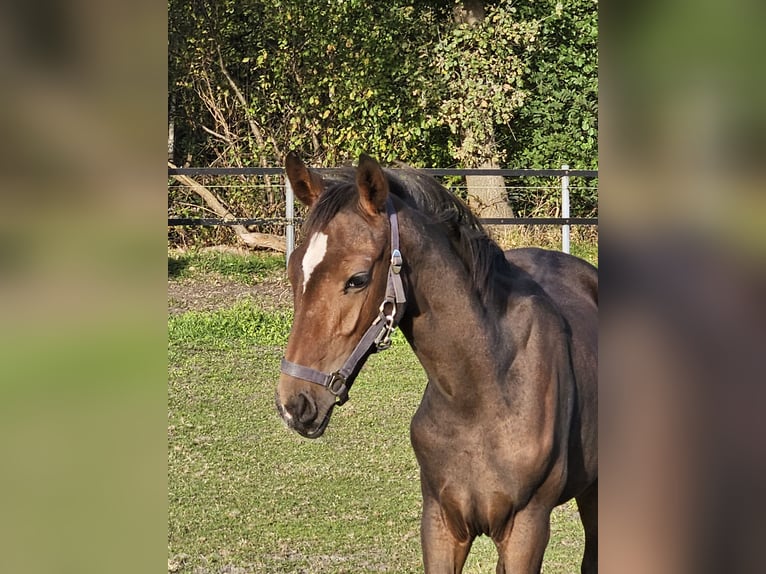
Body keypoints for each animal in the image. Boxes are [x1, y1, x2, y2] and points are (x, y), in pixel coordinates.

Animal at [276, 153, 600, 574]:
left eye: (357, 279)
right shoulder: (441, 524)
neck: (481, 391)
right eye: (294, 269)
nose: (294, 403)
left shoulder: (525, 530)